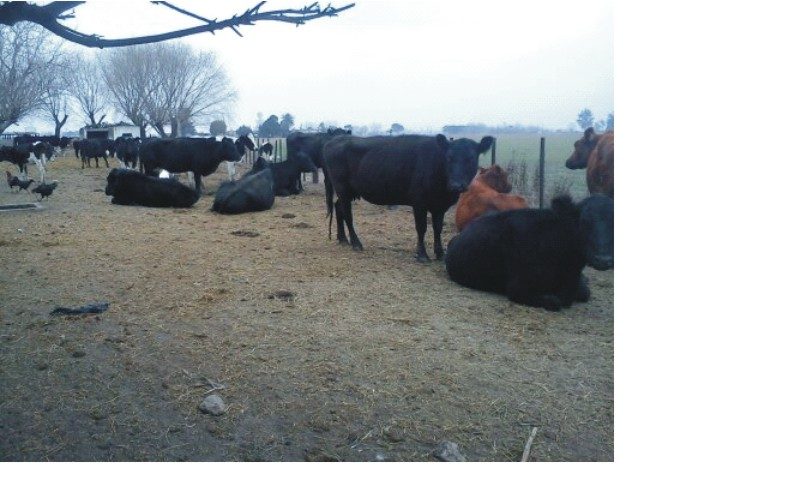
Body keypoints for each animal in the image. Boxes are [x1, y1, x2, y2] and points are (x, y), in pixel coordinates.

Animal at [324, 134, 494, 261]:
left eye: (471, 158)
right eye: (449, 158)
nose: (457, 185)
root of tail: (335, 140)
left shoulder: (440, 206)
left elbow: (437, 228)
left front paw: (440, 253)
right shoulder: (419, 203)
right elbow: (422, 228)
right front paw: (422, 255)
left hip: (348, 192)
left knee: (338, 208)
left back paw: (343, 239)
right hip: (342, 188)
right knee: (347, 214)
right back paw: (356, 243)